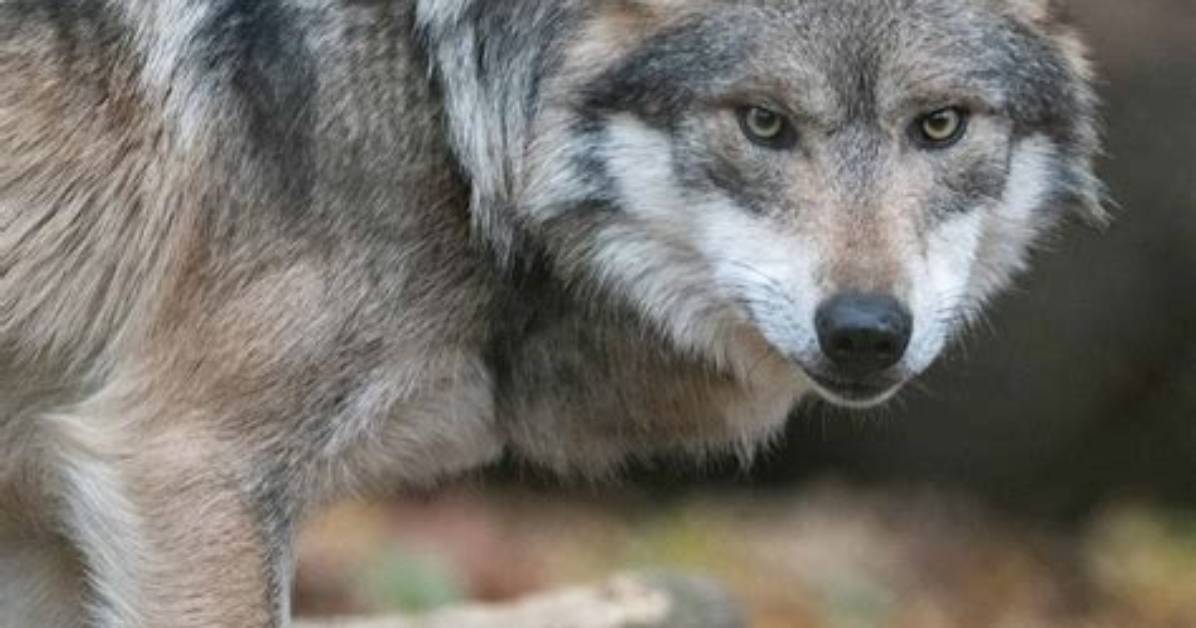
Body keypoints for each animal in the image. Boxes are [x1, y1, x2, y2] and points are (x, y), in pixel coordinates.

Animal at [0, 0, 1102, 625]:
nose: (866, 330)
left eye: (940, 125)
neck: (446, 104)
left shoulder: (56, 506)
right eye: (762, 122)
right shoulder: (183, 464)